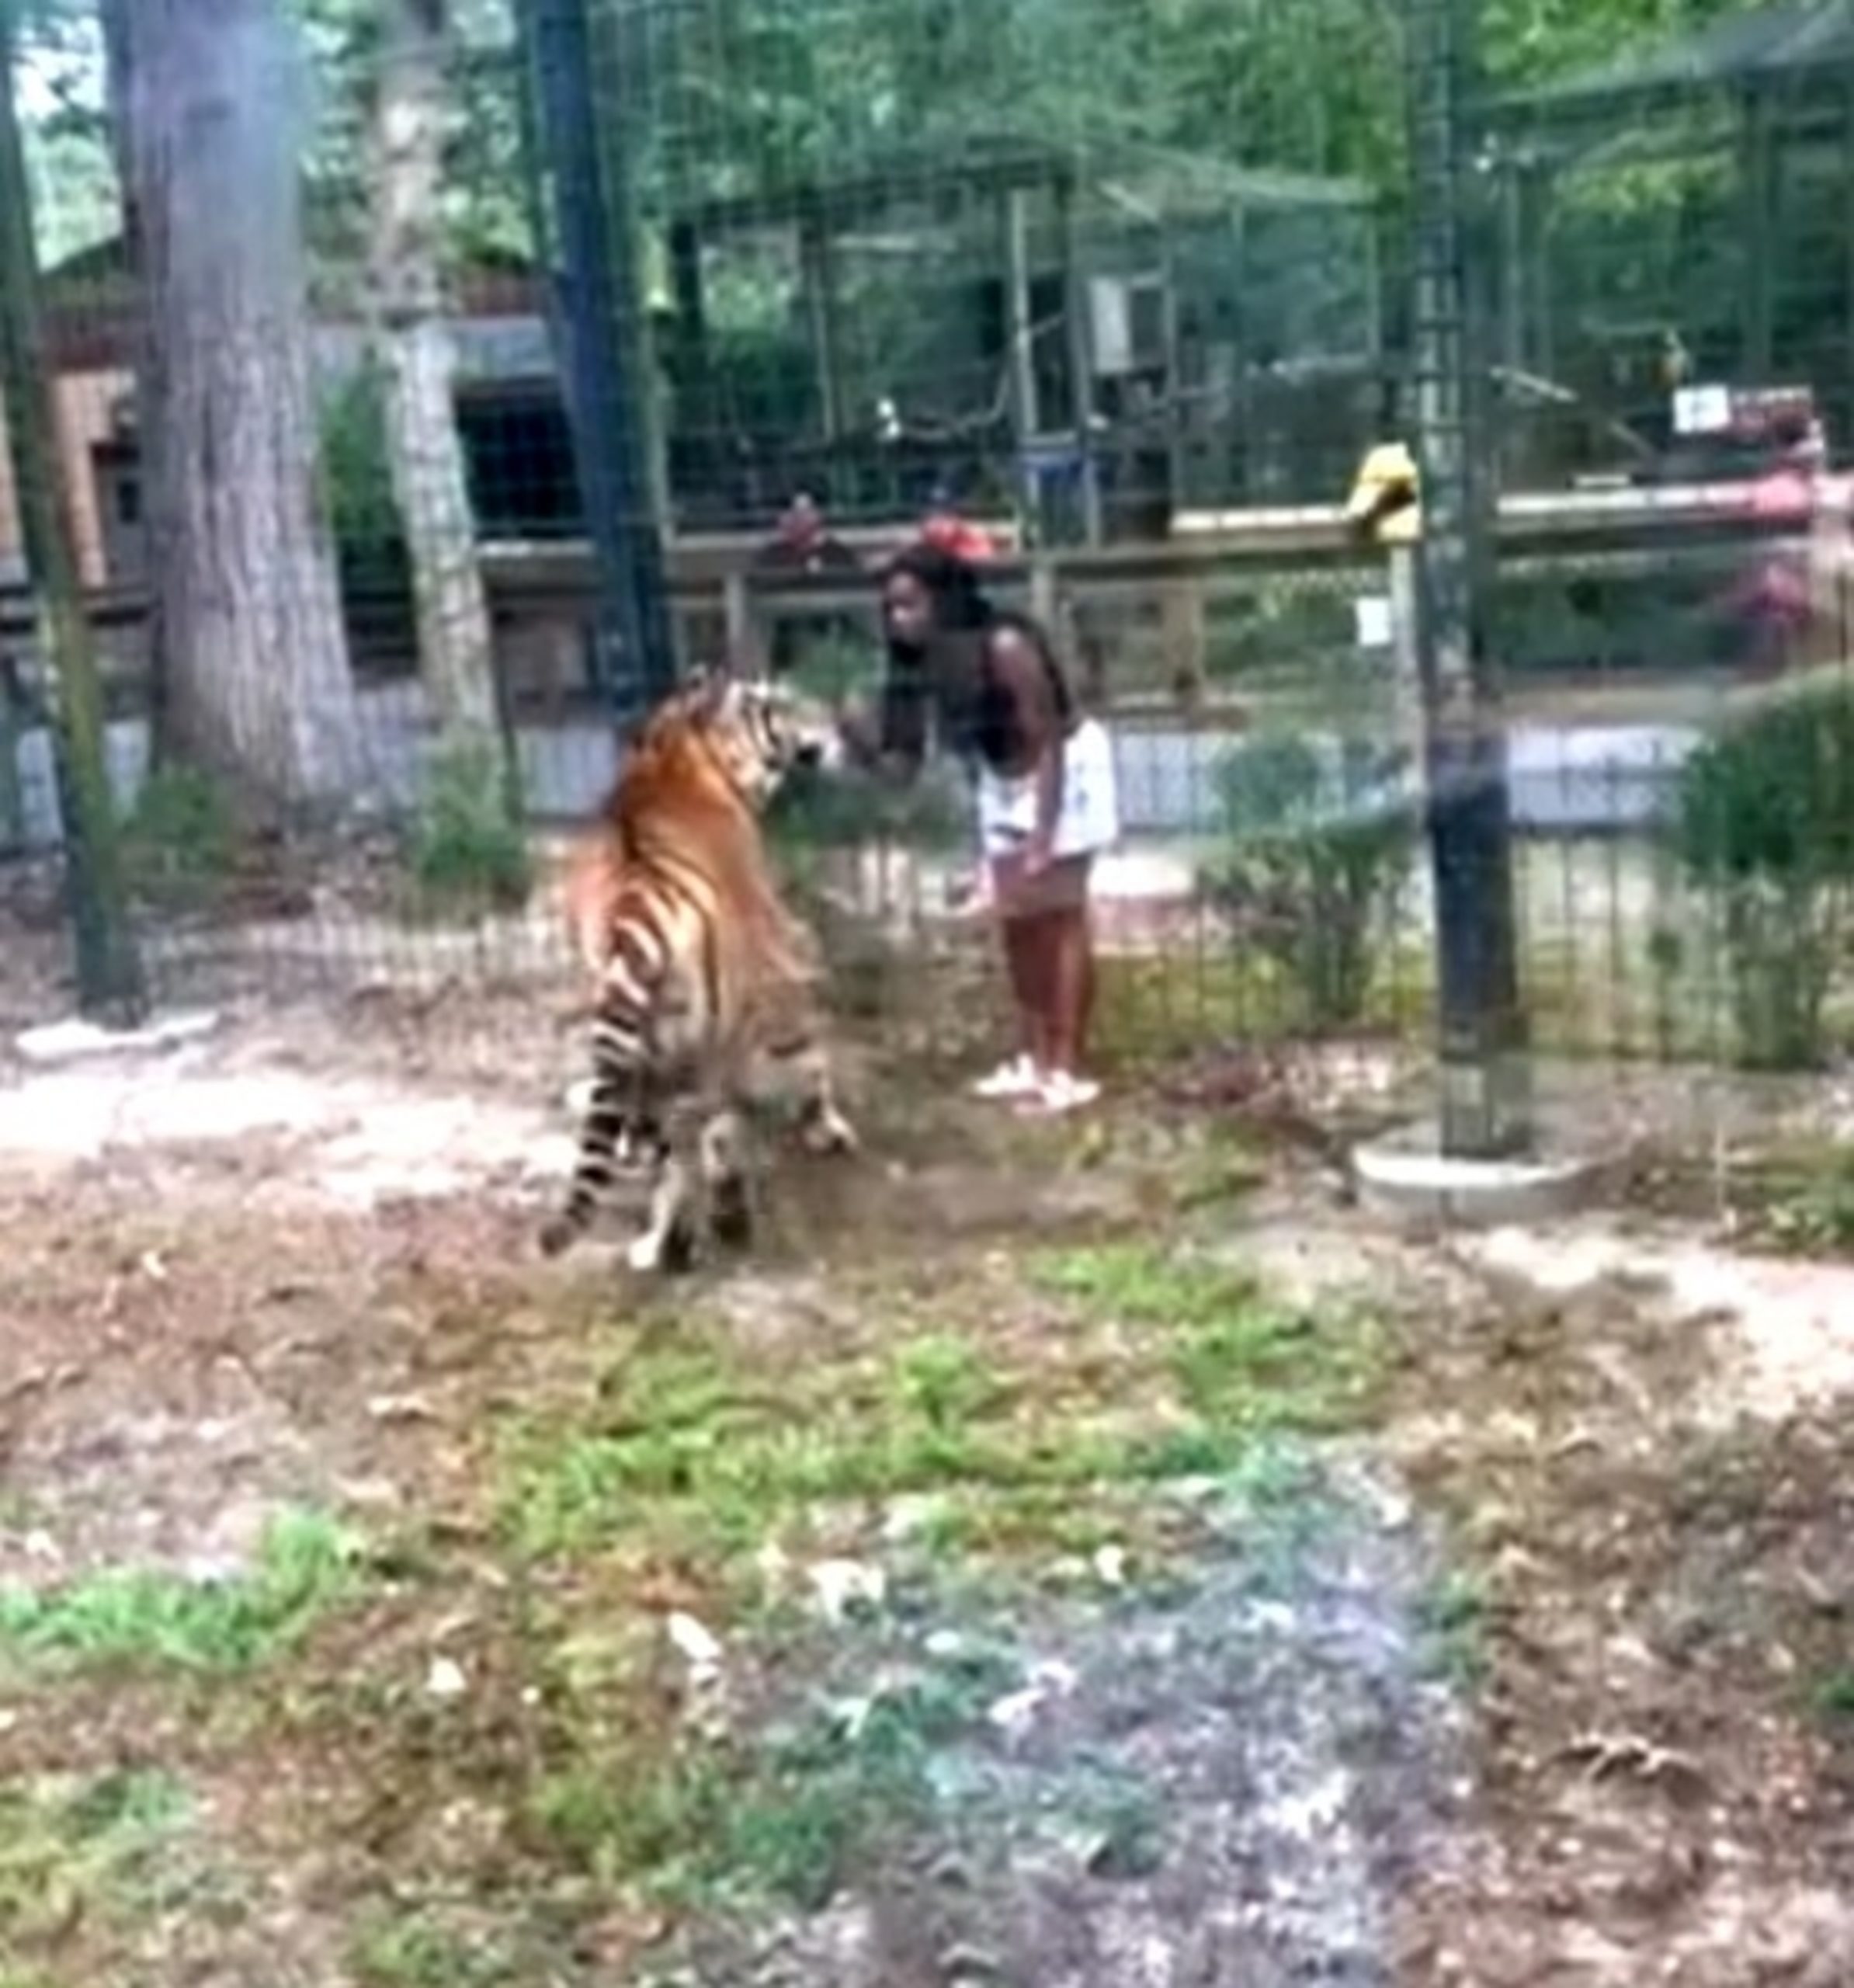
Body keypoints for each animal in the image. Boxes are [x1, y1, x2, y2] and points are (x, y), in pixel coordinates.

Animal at [536, 672, 854, 1272]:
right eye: (786, 704)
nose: (836, 724)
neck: (681, 744)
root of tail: (637, 905)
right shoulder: (779, 950)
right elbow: (811, 1054)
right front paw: (827, 1127)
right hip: (707, 1039)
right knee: (712, 1134)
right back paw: (724, 1216)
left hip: (642, 1046)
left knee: (669, 1148)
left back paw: (666, 1241)